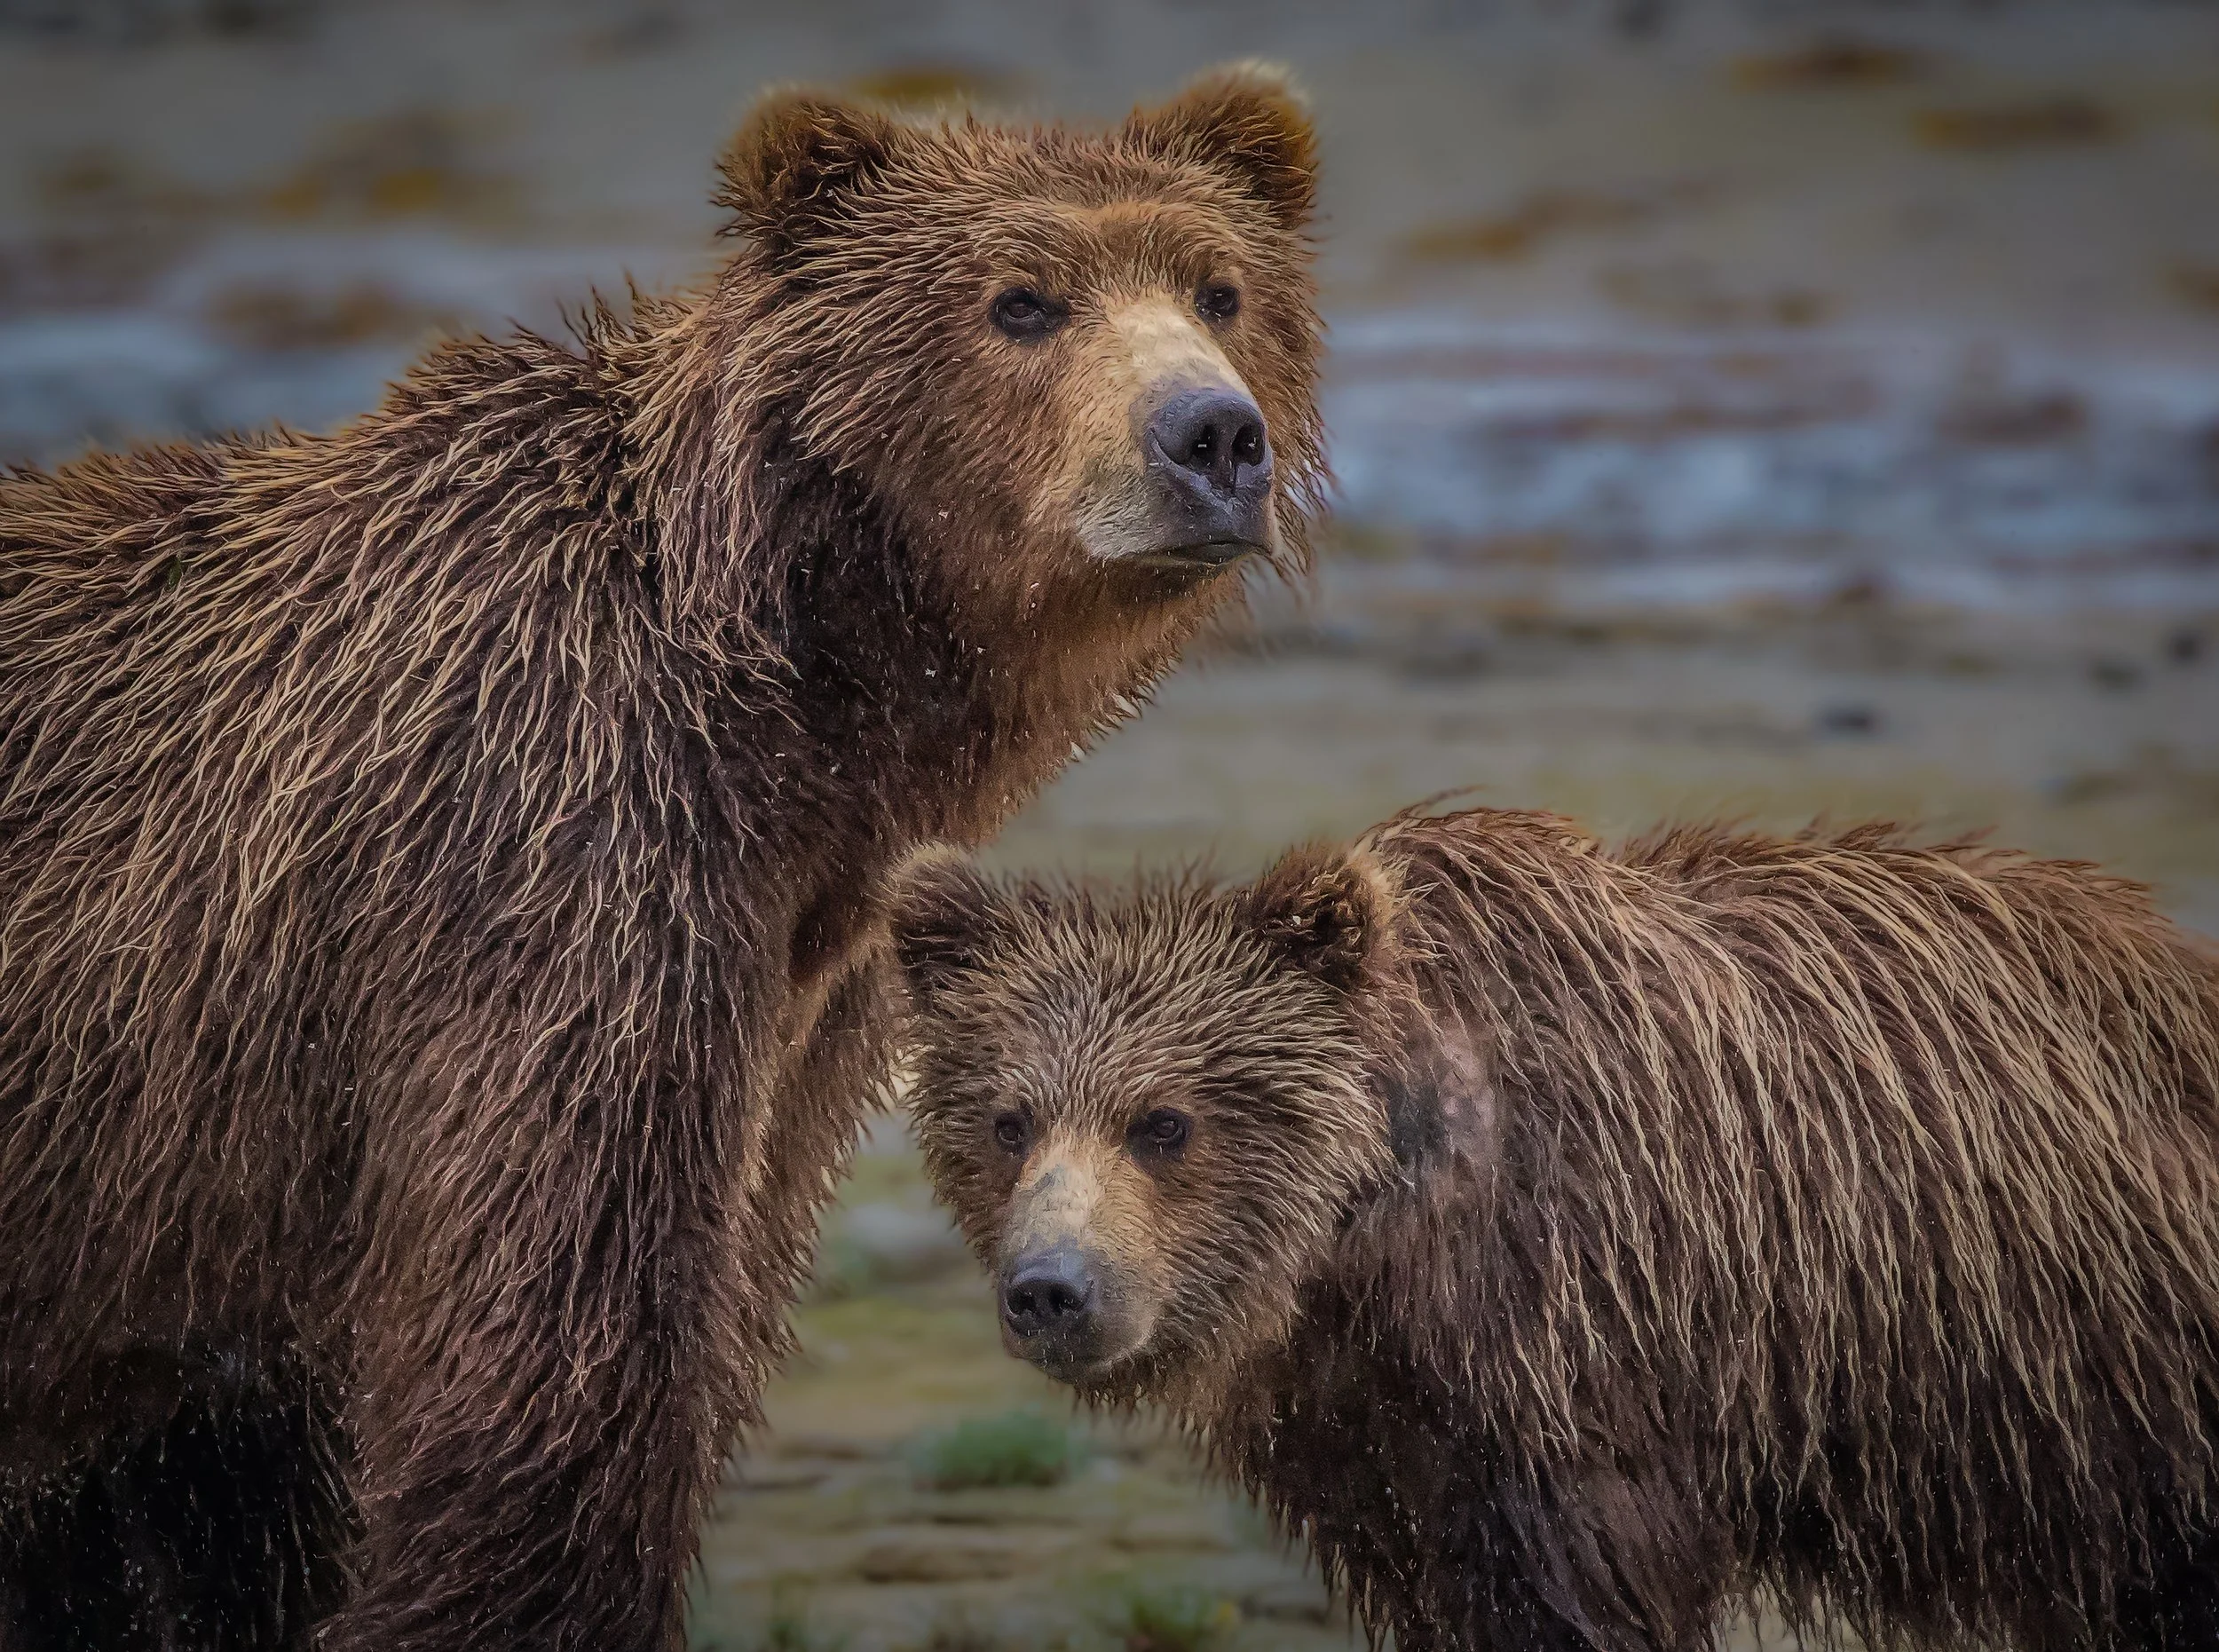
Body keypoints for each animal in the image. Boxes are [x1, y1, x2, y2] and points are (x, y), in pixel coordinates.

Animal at [0, 67, 1325, 1652]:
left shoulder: (803, 986)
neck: (800, 713)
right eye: (1023, 301)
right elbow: (555, 1379)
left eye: (1221, 287)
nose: (1212, 439)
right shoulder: (549, 863)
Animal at [890, 808, 2219, 1652]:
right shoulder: (1384, 1433)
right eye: (1008, 1119)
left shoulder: (1591, 1369)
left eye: (1164, 1121)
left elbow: (1582, 1597)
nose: (1053, 1288)